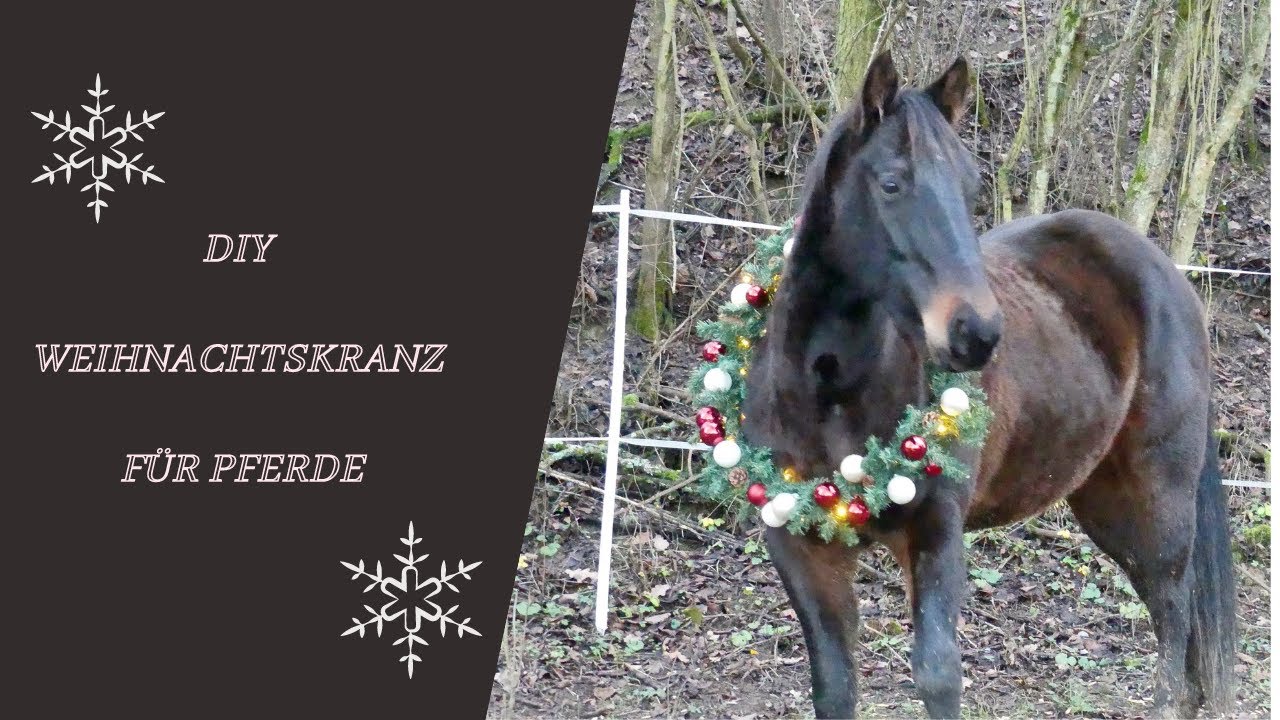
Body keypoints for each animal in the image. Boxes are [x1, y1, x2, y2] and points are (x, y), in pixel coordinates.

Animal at [742, 52, 1236, 719]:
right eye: (891, 184)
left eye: (972, 187)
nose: (975, 333)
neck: (832, 388)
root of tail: (1166, 273)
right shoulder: (801, 548)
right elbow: (835, 686)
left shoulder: (936, 530)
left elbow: (937, 675)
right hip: (1103, 500)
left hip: (1159, 497)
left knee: (1173, 616)